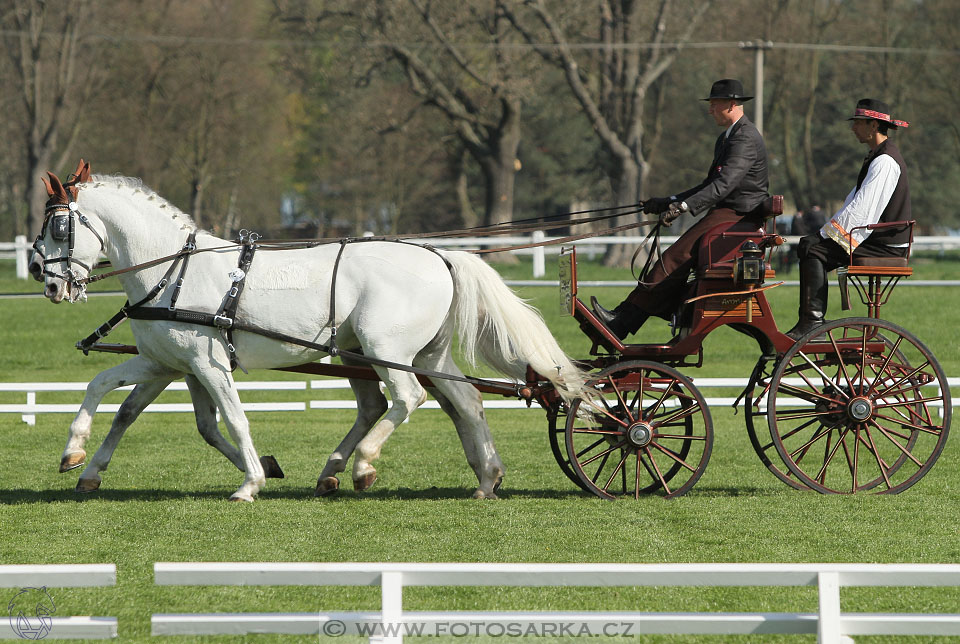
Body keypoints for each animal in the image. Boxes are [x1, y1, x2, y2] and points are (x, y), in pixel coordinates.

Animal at [31, 162, 584, 504]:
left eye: (58, 227)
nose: (46, 279)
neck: (172, 271)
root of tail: (439, 255)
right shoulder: (165, 363)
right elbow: (111, 397)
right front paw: (79, 460)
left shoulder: (208, 364)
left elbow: (234, 421)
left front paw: (251, 481)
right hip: (420, 354)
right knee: (463, 401)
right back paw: (485, 478)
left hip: (385, 350)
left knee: (408, 399)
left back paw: (362, 466)